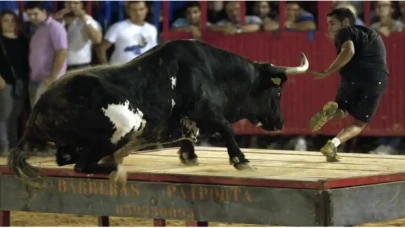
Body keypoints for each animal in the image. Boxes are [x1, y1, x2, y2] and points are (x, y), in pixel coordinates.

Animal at [7, 39, 310, 191]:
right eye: (278, 91)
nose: (280, 123)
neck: (213, 71)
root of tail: (37, 110)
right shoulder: (204, 110)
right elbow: (226, 128)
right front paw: (241, 160)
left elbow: (188, 134)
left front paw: (188, 154)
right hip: (124, 127)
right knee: (83, 164)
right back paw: (117, 167)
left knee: (68, 158)